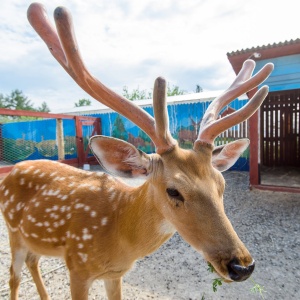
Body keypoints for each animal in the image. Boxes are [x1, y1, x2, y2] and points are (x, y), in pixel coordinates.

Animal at [0, 2, 274, 300]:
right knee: (14, 276)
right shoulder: (77, 266)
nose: (242, 266)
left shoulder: (115, 274)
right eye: (173, 190)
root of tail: (12, 171)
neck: (118, 235)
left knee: (32, 260)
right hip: (13, 230)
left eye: (222, 185)